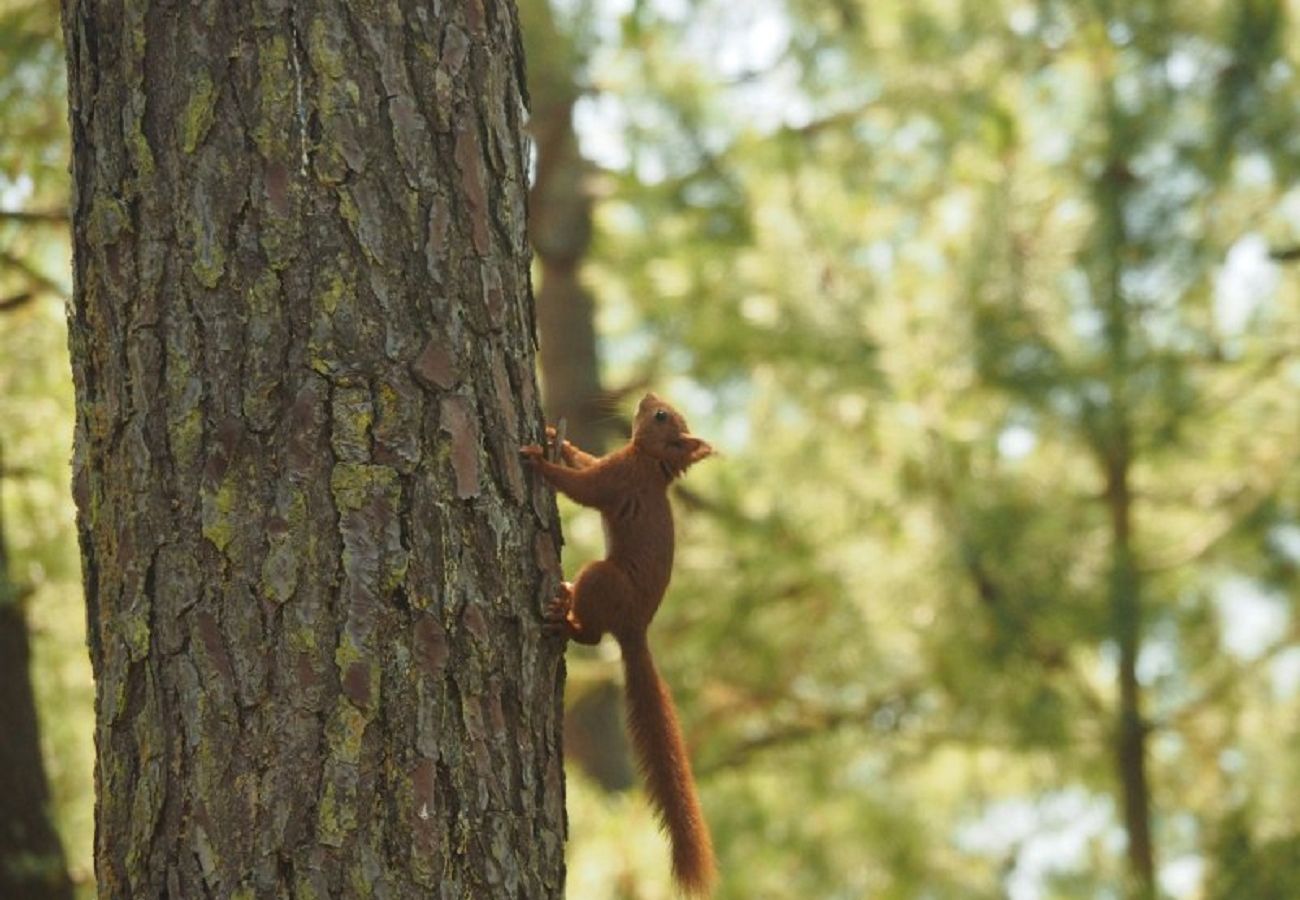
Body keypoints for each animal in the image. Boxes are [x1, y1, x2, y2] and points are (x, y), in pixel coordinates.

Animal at [520, 395, 722, 900]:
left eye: (661, 418)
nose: (647, 398)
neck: (649, 462)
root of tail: (634, 630)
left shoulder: (619, 478)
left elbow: (584, 487)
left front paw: (540, 462)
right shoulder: (615, 465)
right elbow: (586, 462)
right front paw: (554, 436)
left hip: (602, 579)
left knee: (592, 634)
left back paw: (565, 621)